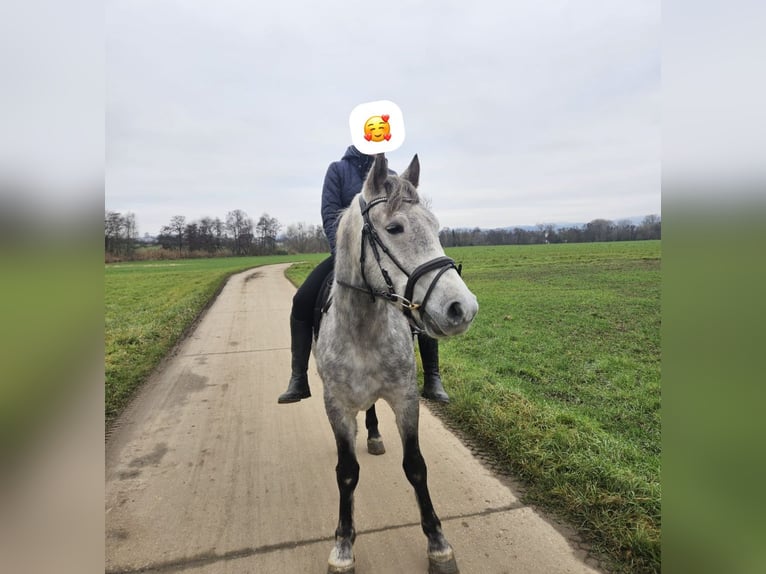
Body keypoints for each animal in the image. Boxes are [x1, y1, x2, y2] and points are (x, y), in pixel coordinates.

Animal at [314, 153, 479, 574]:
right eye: (394, 228)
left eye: (436, 228)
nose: (463, 308)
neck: (364, 327)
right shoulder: (336, 406)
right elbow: (346, 474)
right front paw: (343, 546)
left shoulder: (406, 398)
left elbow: (416, 466)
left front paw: (438, 545)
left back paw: (373, 435)